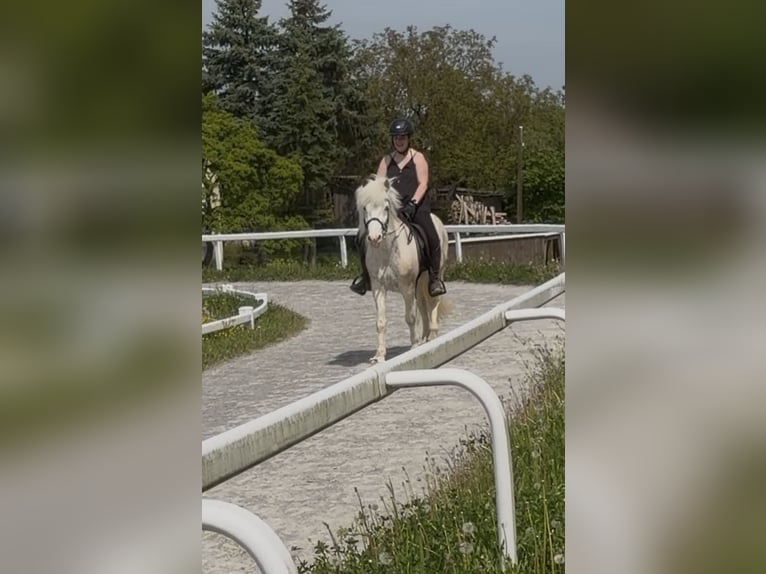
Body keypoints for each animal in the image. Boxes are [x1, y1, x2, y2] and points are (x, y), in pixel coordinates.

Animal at [355, 174, 450, 363]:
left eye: (386, 208)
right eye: (365, 208)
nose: (374, 238)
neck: (387, 251)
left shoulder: (407, 287)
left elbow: (410, 317)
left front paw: (413, 348)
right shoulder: (378, 287)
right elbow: (381, 321)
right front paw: (379, 356)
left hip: (435, 274)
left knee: (433, 301)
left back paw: (432, 336)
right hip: (419, 282)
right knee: (422, 304)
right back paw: (425, 338)